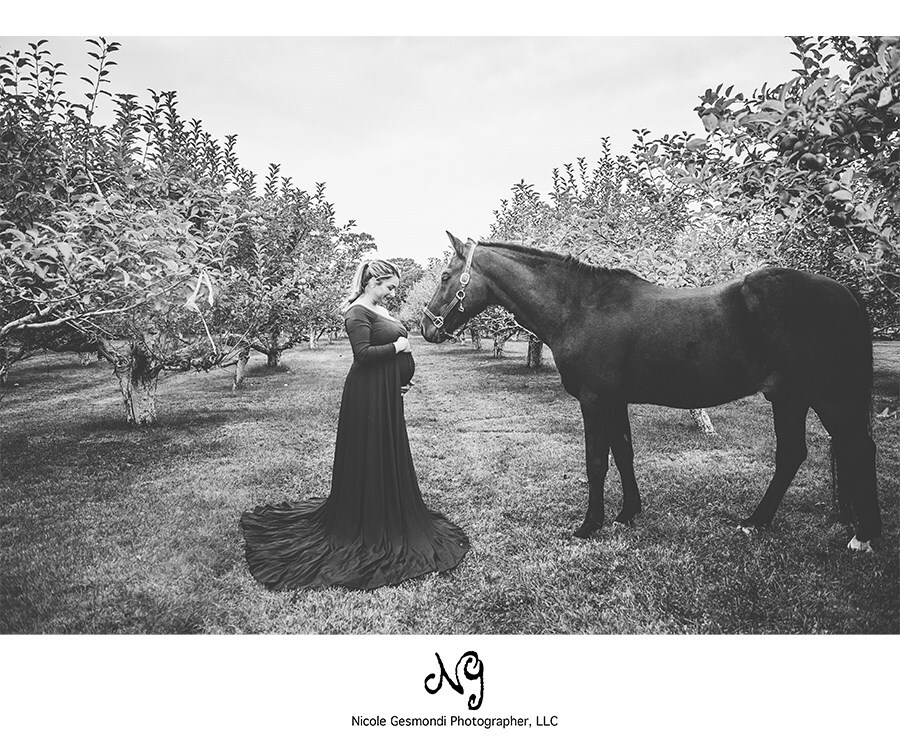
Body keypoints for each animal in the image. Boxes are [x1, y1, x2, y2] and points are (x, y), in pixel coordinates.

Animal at [421, 232, 881, 551]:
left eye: (445, 276)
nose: (426, 327)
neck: (579, 307)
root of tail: (843, 290)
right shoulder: (615, 401)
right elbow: (624, 453)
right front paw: (628, 513)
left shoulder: (594, 401)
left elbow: (596, 462)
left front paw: (590, 525)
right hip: (791, 397)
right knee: (795, 455)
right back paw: (758, 521)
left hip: (827, 396)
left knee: (855, 449)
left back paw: (863, 536)